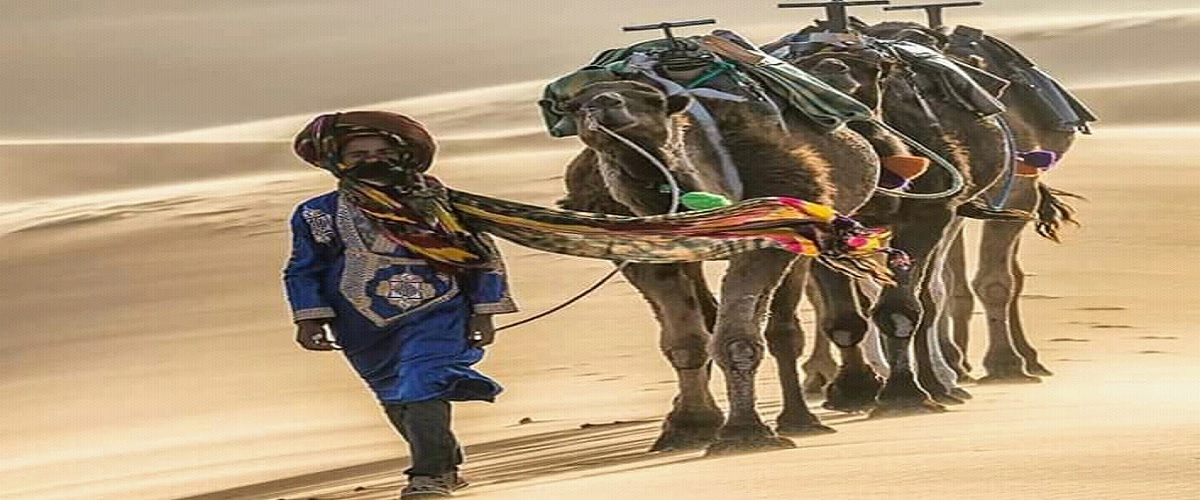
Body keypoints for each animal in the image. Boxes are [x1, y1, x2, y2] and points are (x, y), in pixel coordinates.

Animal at [552, 69, 883, 448]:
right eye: (576, 106)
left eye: (652, 99)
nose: (606, 102)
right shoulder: (635, 249)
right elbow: (686, 342)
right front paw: (690, 425)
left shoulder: (773, 229)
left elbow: (739, 337)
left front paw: (744, 431)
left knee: (789, 323)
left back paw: (825, 405)